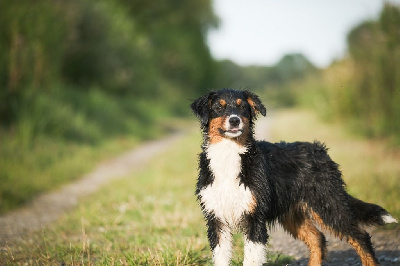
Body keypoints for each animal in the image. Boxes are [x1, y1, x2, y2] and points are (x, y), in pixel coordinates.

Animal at [191, 88, 396, 264]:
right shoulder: (216, 220)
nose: (234, 120)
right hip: (293, 213)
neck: (229, 154)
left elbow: (251, 259)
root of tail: (320, 150)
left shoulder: (254, 219)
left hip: (328, 204)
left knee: (360, 236)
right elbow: (221, 258)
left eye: (242, 107)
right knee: (317, 238)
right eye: (219, 107)